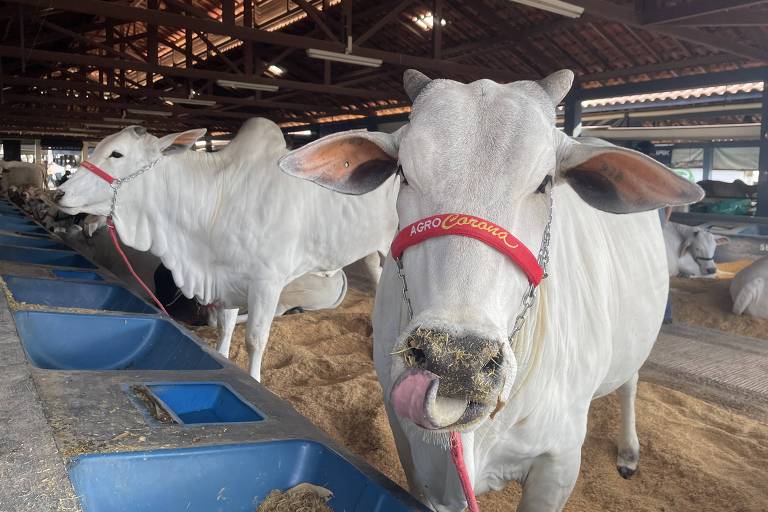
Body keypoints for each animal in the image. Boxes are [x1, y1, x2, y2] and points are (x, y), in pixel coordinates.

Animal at [58, 117, 396, 380]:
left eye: (117, 154)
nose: (60, 193)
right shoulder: (225, 278)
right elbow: (225, 327)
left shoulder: (266, 283)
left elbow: (255, 339)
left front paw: (255, 380)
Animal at [280, 70, 704, 510]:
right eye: (404, 174)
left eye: (545, 183)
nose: (456, 360)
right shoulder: (410, 449)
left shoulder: (558, 462)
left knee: (631, 383)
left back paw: (629, 451)